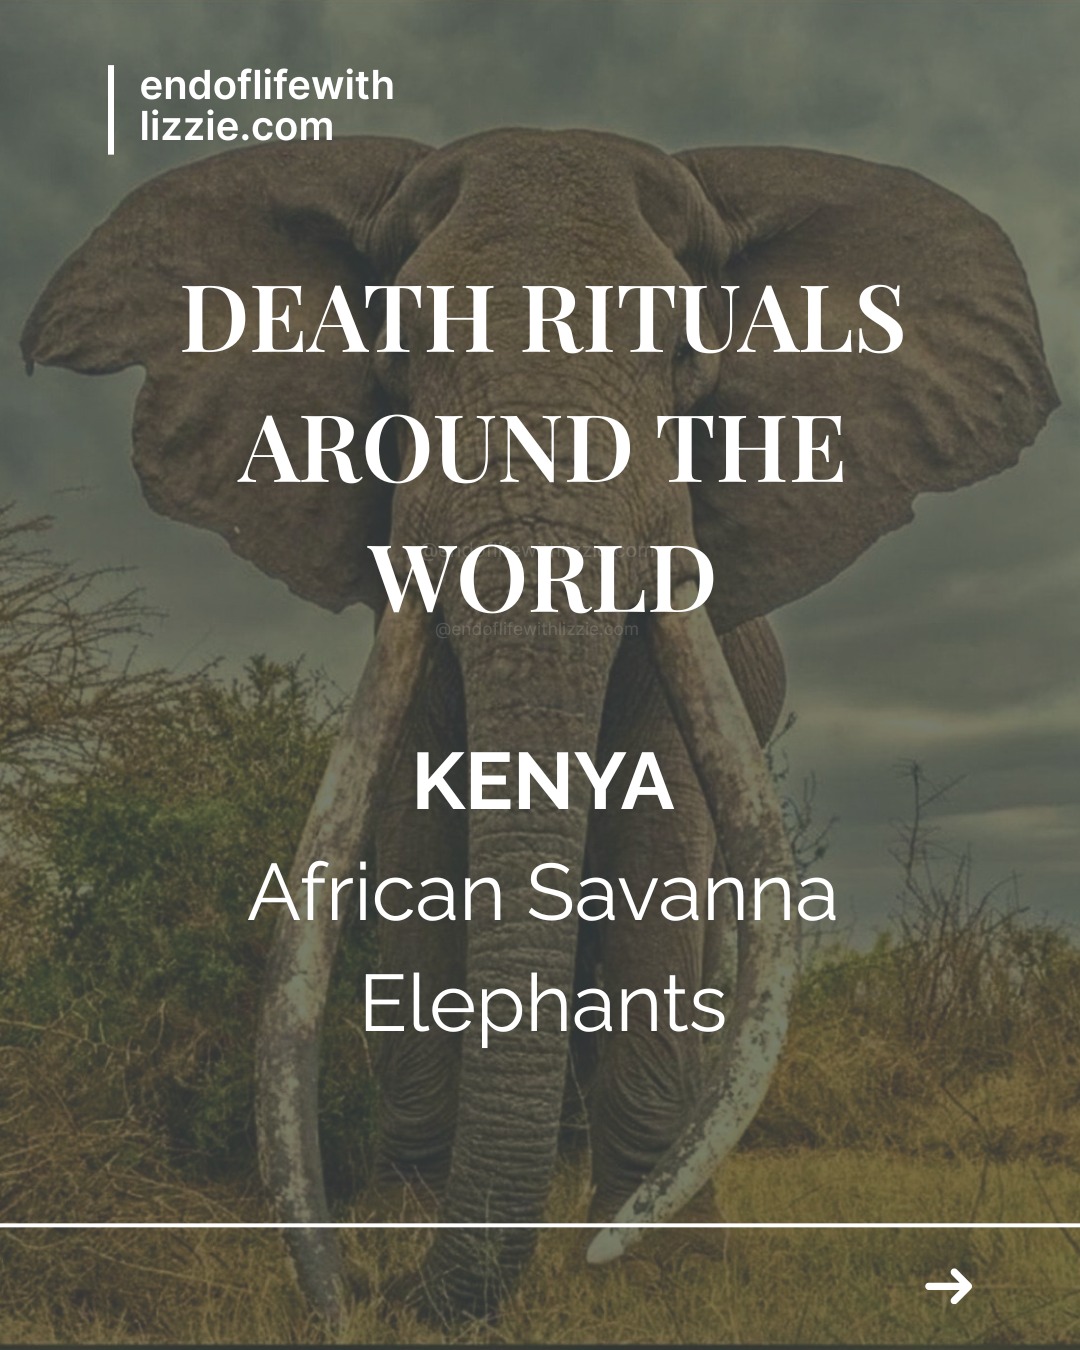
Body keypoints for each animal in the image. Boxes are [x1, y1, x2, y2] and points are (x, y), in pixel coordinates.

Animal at [22, 128, 1056, 1323]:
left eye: (682, 353)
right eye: (401, 350)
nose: (361, 1294)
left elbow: (657, 848)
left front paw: (651, 1277)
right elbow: (415, 835)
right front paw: (404, 1237)